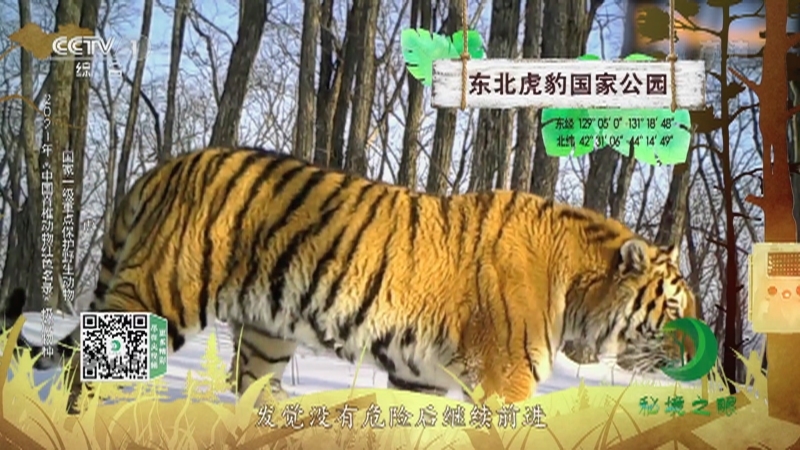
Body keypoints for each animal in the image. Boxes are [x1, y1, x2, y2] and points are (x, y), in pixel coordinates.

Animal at [1, 146, 697, 413]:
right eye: (674, 307)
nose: (703, 355)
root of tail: (166, 166)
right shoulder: (507, 384)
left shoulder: (422, 376)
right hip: (159, 298)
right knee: (80, 372)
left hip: (266, 338)